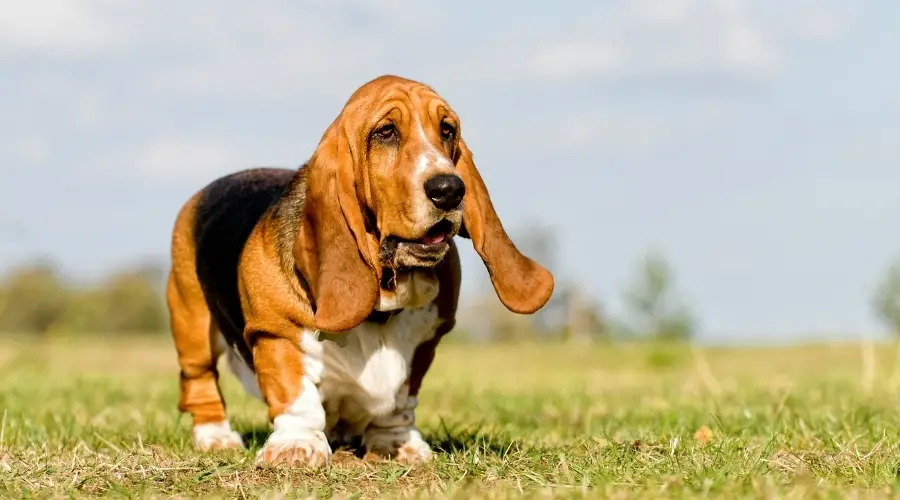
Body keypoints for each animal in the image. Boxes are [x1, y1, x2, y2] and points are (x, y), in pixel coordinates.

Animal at [165, 75, 552, 468]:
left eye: (447, 130)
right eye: (385, 132)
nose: (450, 189)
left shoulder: (424, 344)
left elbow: (400, 400)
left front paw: (398, 446)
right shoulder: (275, 331)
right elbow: (297, 396)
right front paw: (295, 447)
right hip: (192, 321)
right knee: (199, 380)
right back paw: (216, 437)